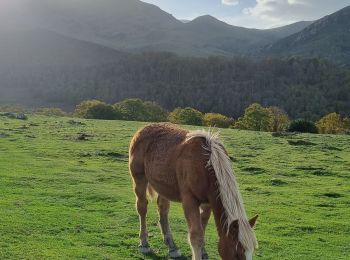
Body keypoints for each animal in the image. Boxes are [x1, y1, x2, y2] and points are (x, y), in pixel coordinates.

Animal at [129, 124, 258, 260]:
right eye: (237, 253)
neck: (207, 164)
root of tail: (142, 129)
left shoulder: (207, 203)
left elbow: (203, 228)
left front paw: (203, 252)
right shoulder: (189, 201)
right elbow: (196, 236)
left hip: (163, 186)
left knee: (163, 209)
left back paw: (172, 246)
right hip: (139, 178)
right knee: (142, 207)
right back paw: (144, 243)